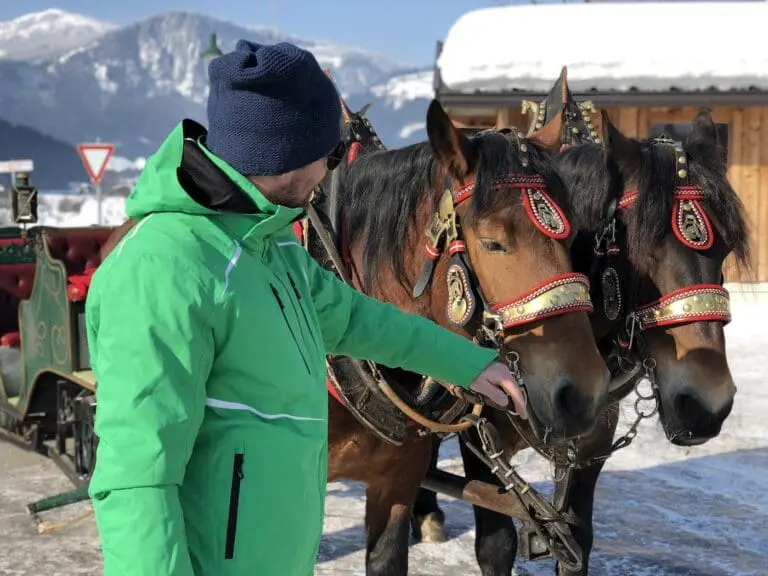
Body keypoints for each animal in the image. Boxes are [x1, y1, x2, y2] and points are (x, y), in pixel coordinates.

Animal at [413, 84, 750, 575]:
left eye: (724, 248)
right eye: (641, 246)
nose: (708, 404)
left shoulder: (592, 437)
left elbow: (574, 537)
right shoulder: (479, 427)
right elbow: (496, 543)